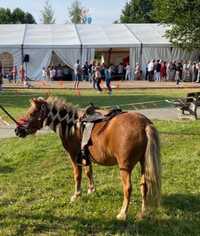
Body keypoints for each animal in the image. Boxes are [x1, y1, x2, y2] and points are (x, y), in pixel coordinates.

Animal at [14, 97, 160, 220]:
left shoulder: (74, 156)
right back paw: (143, 211)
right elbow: (89, 172)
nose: (17, 130)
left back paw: (123, 213)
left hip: (125, 167)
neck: (71, 124)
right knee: (144, 186)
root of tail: (144, 124)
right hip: (143, 163)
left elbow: (77, 176)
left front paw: (77, 195)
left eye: (32, 114)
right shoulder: (86, 157)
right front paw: (91, 190)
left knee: (128, 188)